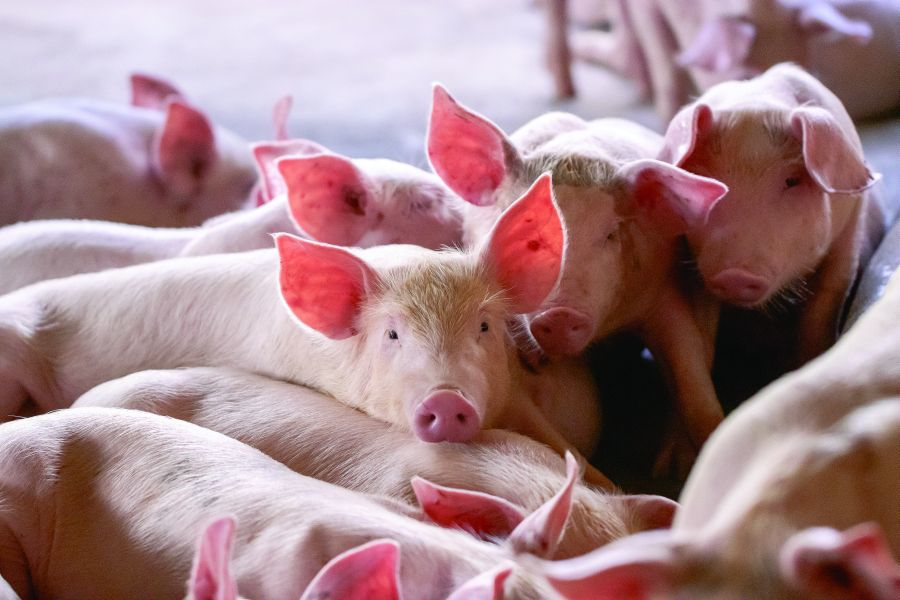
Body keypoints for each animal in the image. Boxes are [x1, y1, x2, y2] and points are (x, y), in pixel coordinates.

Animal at [660, 63, 884, 369]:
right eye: (705, 179)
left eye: (792, 181)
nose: (735, 275)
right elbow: (703, 326)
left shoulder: (849, 233)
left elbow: (824, 304)